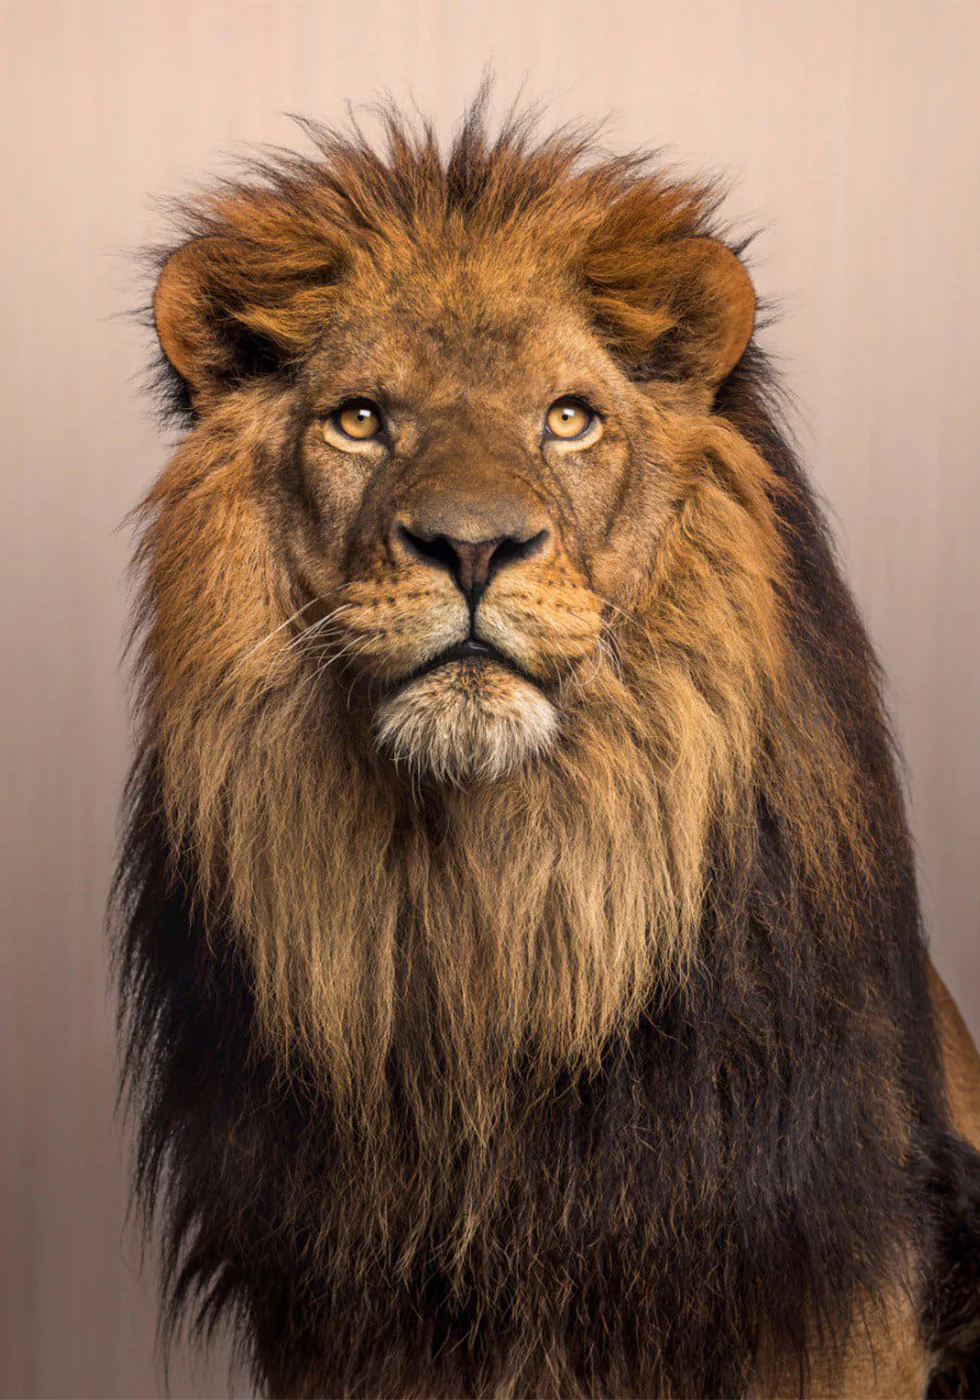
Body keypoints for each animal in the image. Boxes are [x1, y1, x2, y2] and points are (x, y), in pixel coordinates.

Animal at [113, 96, 980, 1398]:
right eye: (360, 420)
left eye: (567, 418)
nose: (471, 546)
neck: (496, 914)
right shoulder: (340, 1316)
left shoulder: (833, 1280)